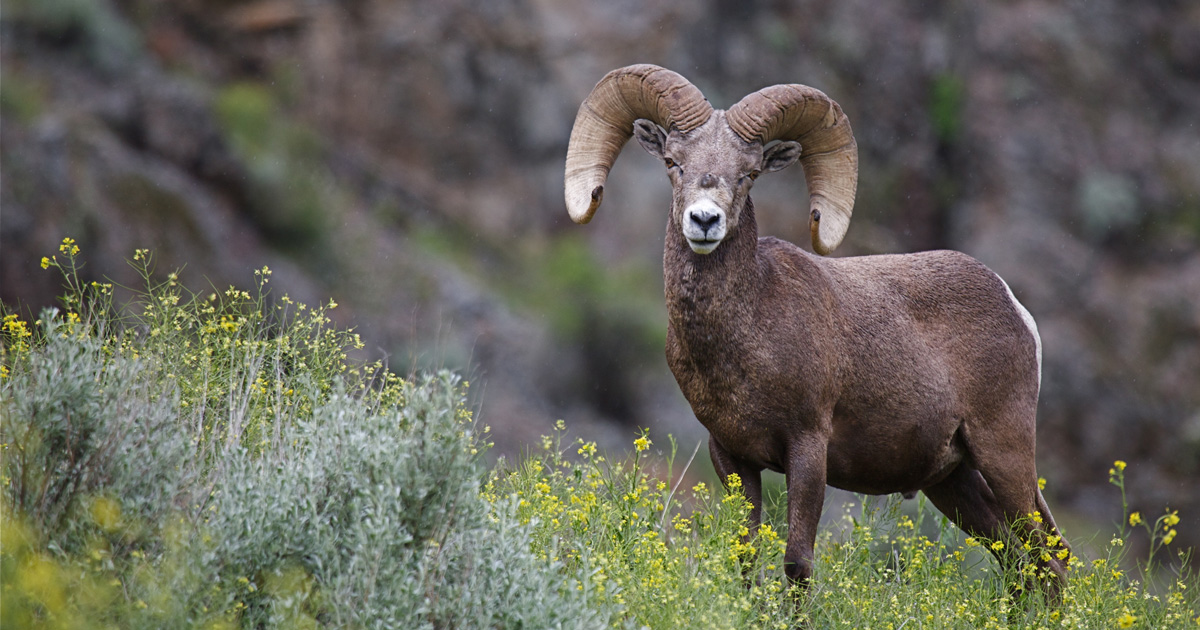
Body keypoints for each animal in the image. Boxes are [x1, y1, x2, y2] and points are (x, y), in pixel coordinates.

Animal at [563, 64, 1070, 596]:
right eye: (672, 162)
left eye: (749, 173)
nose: (704, 220)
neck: (746, 334)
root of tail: (1015, 308)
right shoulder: (731, 456)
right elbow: (746, 557)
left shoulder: (807, 449)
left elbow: (797, 562)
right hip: (952, 482)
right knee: (1019, 565)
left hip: (1004, 455)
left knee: (1050, 564)